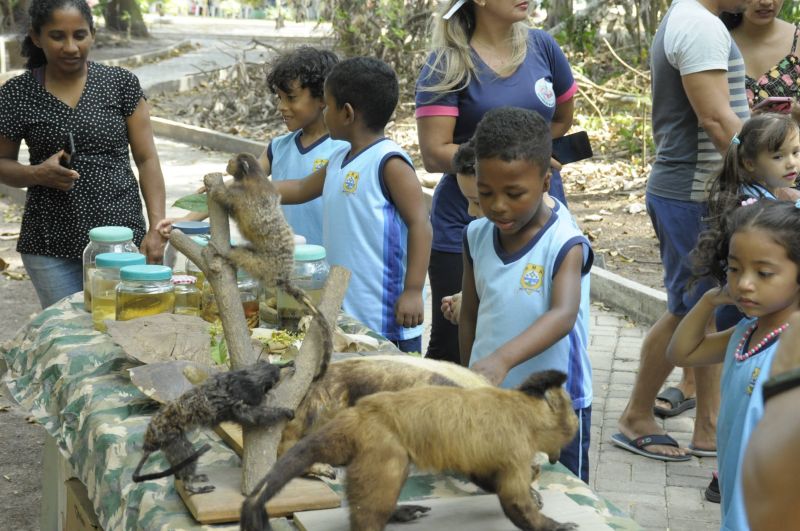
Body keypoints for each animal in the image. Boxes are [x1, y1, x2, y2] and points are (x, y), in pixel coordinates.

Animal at [211, 152, 332, 380]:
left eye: (232, 162)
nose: (227, 165)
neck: (252, 178)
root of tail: (282, 274)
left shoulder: (240, 194)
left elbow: (226, 197)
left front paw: (212, 190)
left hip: (263, 265)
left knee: (243, 256)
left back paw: (225, 253)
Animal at [241, 372, 580, 531]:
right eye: (570, 430)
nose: (557, 457)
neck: (521, 408)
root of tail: (357, 416)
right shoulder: (517, 448)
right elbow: (514, 502)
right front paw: (553, 523)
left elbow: (486, 477)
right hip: (382, 450)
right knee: (372, 507)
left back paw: (399, 512)